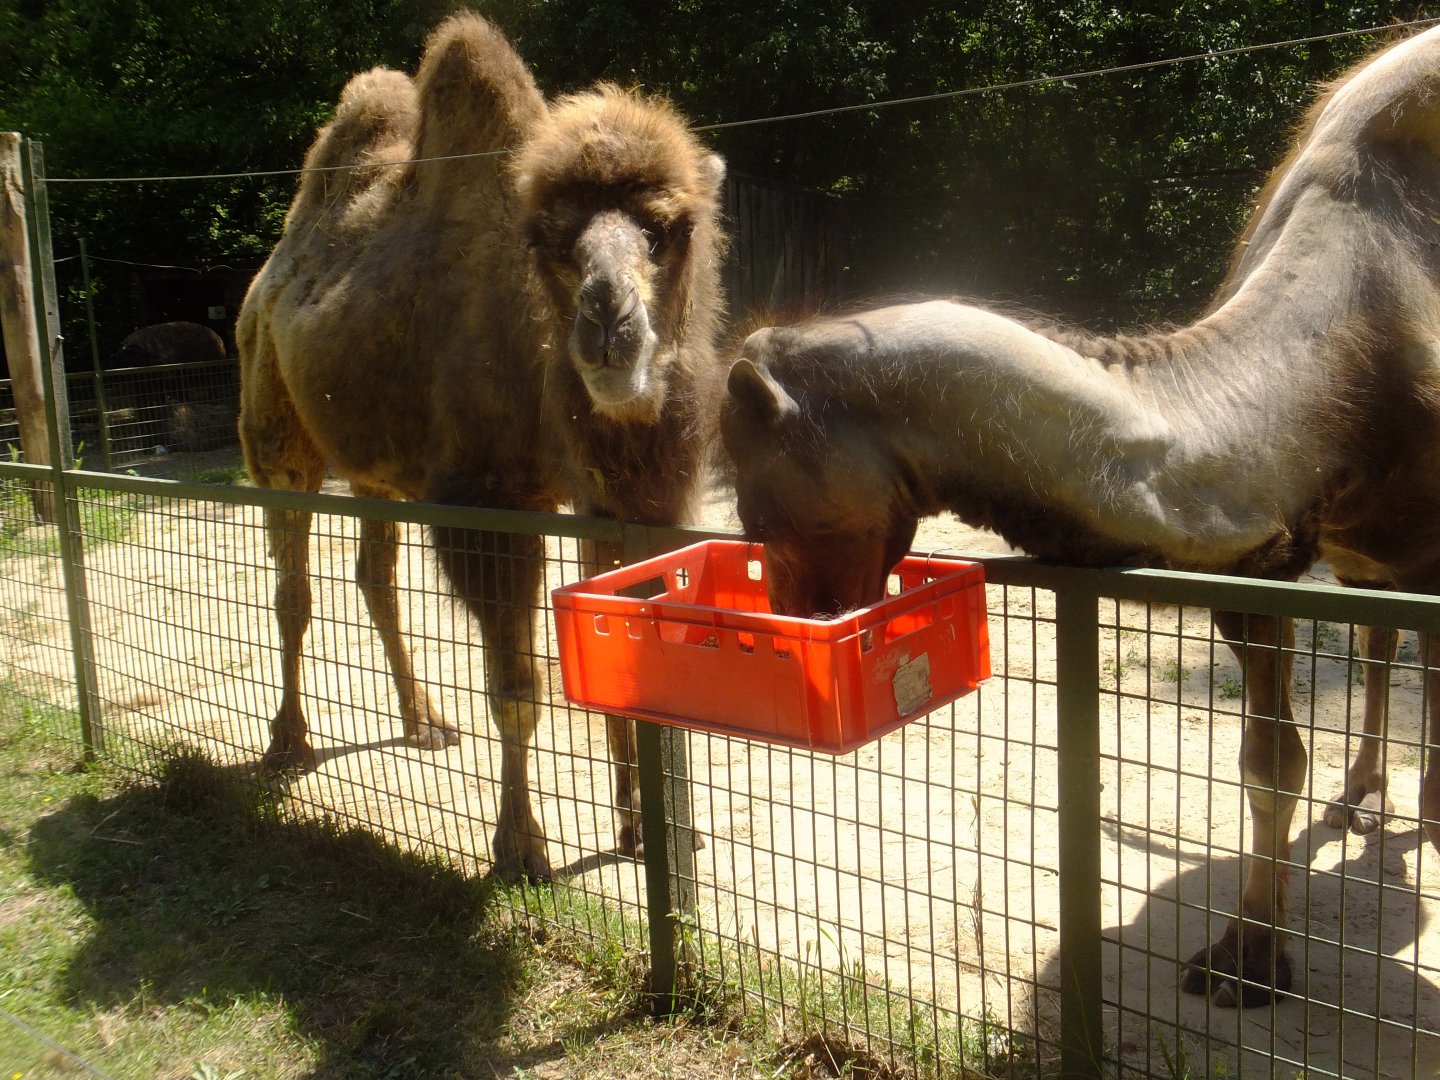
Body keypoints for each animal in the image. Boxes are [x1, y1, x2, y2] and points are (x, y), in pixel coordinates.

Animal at [237, 13, 726, 880]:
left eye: (668, 228)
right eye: (551, 238)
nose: (609, 323)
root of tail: (268, 278)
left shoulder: (618, 499)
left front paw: (648, 833)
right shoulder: (489, 504)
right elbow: (517, 689)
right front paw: (521, 847)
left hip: (378, 466)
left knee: (374, 575)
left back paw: (423, 720)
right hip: (276, 431)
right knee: (294, 588)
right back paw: (287, 742)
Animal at [720, 26, 1440, 1008]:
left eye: (758, 509)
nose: (795, 619)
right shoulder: (1258, 562)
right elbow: (1269, 764)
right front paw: (1248, 959)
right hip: (1363, 554)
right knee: (1375, 635)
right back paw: (1362, 790)